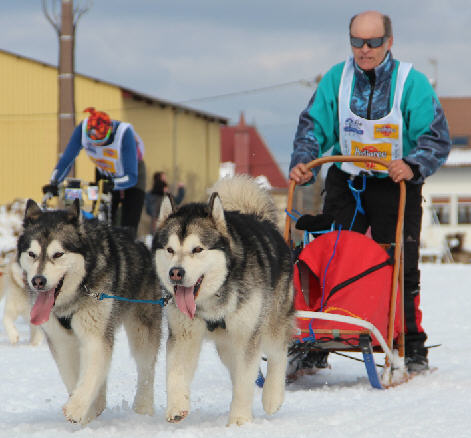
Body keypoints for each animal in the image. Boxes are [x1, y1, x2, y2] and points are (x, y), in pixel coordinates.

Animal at [17, 200, 162, 426]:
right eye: (32, 254)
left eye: (58, 254)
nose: (38, 281)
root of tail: (141, 244)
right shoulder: (60, 341)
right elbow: (73, 376)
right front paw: (87, 413)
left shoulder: (95, 336)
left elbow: (90, 374)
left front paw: (77, 408)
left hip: (142, 330)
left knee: (145, 369)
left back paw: (143, 408)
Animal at [155, 175, 296, 424]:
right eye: (170, 249)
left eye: (197, 249)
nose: (175, 273)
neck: (214, 297)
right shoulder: (183, 334)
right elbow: (175, 372)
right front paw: (177, 405)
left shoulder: (247, 335)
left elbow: (245, 381)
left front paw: (239, 420)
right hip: (227, 346)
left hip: (270, 324)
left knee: (278, 353)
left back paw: (273, 396)